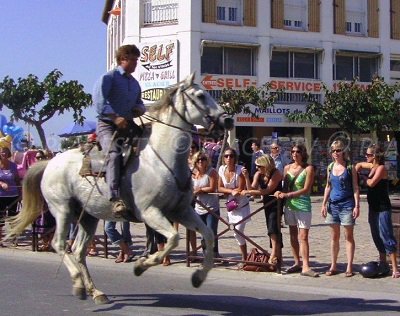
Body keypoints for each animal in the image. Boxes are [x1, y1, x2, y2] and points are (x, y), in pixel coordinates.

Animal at [6, 74, 233, 304]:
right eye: (200, 95)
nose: (228, 120)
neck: (161, 158)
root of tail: (50, 162)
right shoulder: (150, 212)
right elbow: (173, 239)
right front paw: (141, 265)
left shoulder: (181, 211)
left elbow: (208, 235)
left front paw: (198, 276)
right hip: (62, 210)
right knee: (60, 244)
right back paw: (78, 283)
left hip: (88, 216)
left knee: (78, 251)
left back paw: (95, 292)